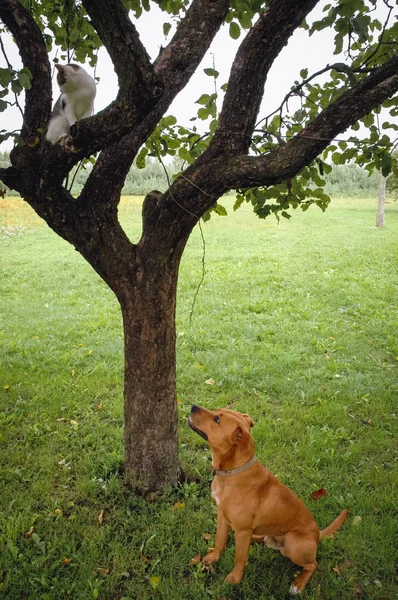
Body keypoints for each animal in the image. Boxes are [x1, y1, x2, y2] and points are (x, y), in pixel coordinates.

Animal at [188, 406, 346, 592]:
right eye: (216, 411)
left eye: (217, 419)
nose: (192, 406)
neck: (232, 474)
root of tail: (317, 534)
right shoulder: (222, 516)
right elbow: (220, 540)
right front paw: (214, 557)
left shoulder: (243, 530)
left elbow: (240, 558)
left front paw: (235, 578)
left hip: (293, 543)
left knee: (312, 565)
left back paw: (298, 584)